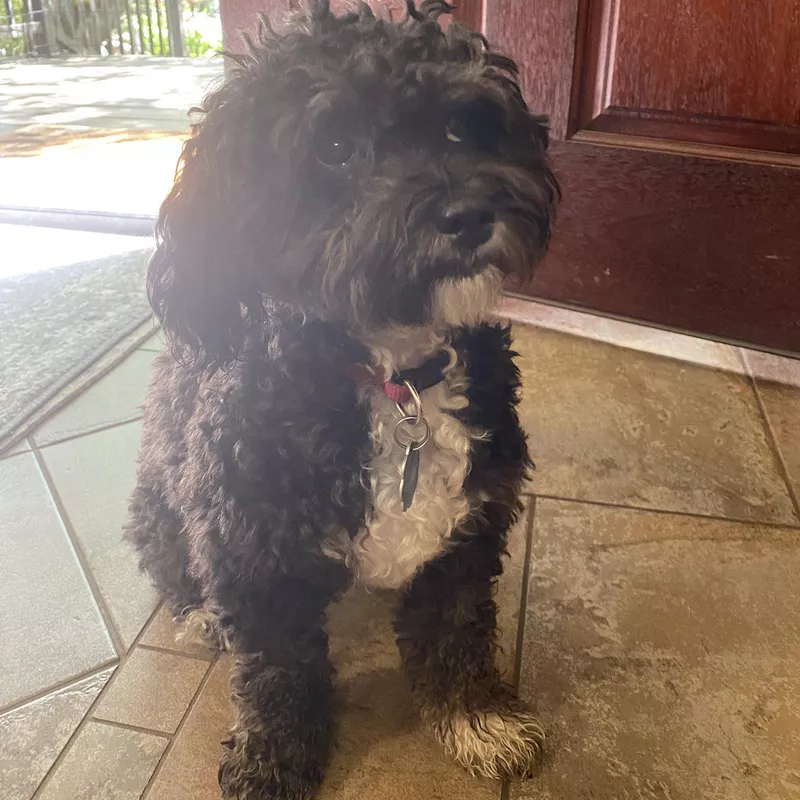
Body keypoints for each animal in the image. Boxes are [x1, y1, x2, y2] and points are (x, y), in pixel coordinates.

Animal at [128, 3, 560, 796]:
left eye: (462, 125)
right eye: (333, 147)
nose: (468, 213)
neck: (392, 379)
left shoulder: (466, 533)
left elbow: (457, 631)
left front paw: (476, 717)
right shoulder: (253, 557)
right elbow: (277, 674)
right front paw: (272, 763)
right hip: (161, 508)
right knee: (171, 566)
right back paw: (199, 615)